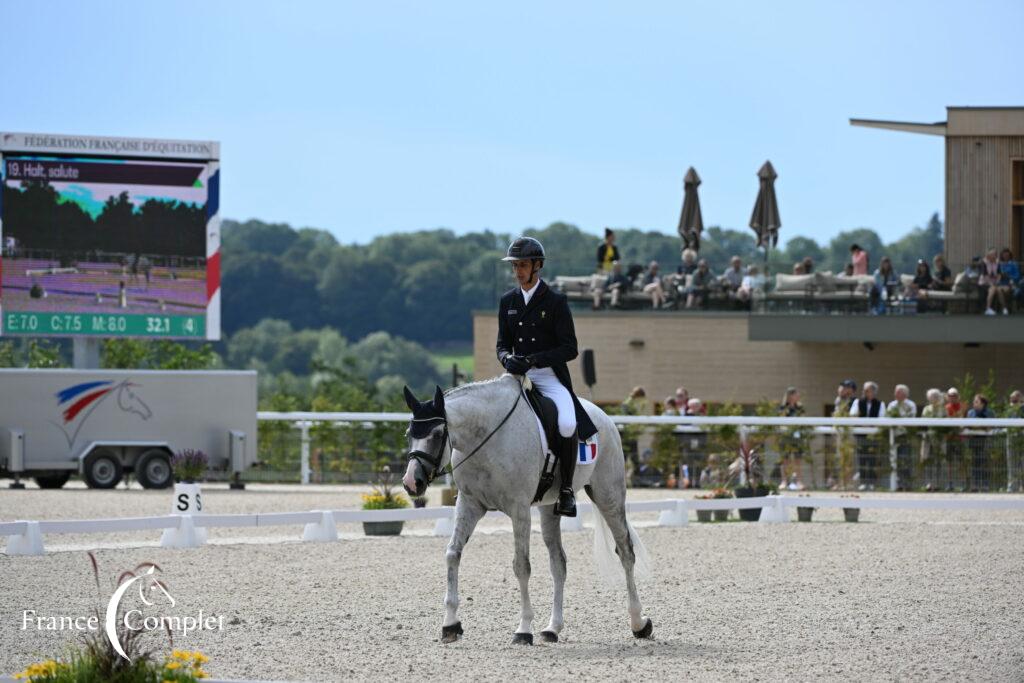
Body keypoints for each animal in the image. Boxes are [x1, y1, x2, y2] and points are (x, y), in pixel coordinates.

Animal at [397, 374, 647, 647]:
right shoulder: (469, 504)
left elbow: (521, 566)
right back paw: (553, 628)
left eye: (437, 433)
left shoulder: (519, 510)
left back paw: (639, 623)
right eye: (409, 433)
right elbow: (452, 554)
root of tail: (604, 417)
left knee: (626, 552)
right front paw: (450, 624)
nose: (411, 482)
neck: (486, 435)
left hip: (608, 495)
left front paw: (523, 629)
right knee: (558, 562)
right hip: (550, 509)